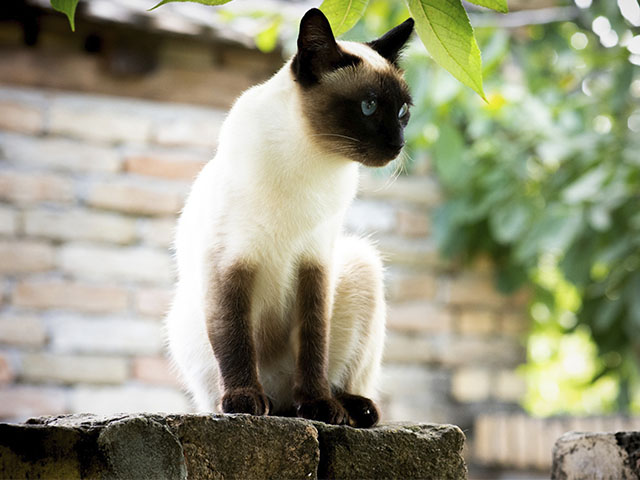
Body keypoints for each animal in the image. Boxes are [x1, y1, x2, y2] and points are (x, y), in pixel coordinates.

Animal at [166, 7, 416, 428]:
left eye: (402, 113)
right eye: (368, 106)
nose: (398, 145)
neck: (313, 159)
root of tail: (282, 401)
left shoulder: (314, 263)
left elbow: (313, 341)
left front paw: (318, 407)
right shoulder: (230, 262)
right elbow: (235, 339)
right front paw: (244, 402)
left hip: (359, 263)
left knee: (338, 378)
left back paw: (347, 408)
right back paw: (265, 403)